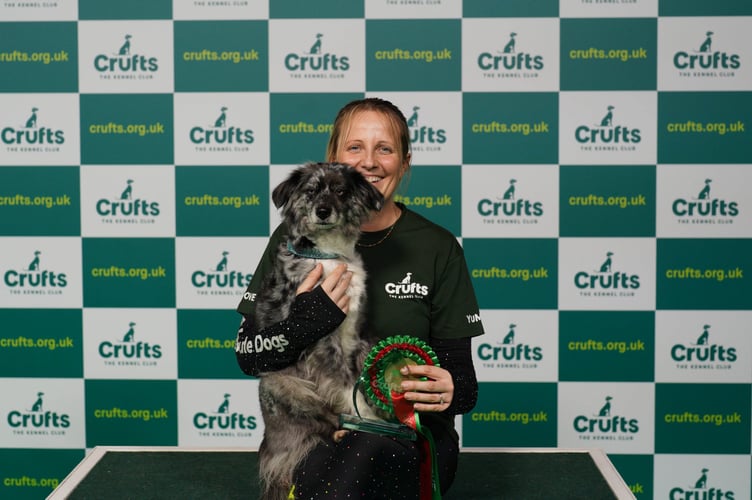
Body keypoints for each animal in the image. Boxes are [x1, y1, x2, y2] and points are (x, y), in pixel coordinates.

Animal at [256, 162, 384, 498]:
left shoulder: (356, 333)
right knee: (319, 422)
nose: (323, 211)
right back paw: (337, 432)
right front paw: (369, 420)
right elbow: (346, 386)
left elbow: (358, 379)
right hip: (279, 383)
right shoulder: (325, 340)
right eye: (311, 191)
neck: (328, 256)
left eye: (340, 191)